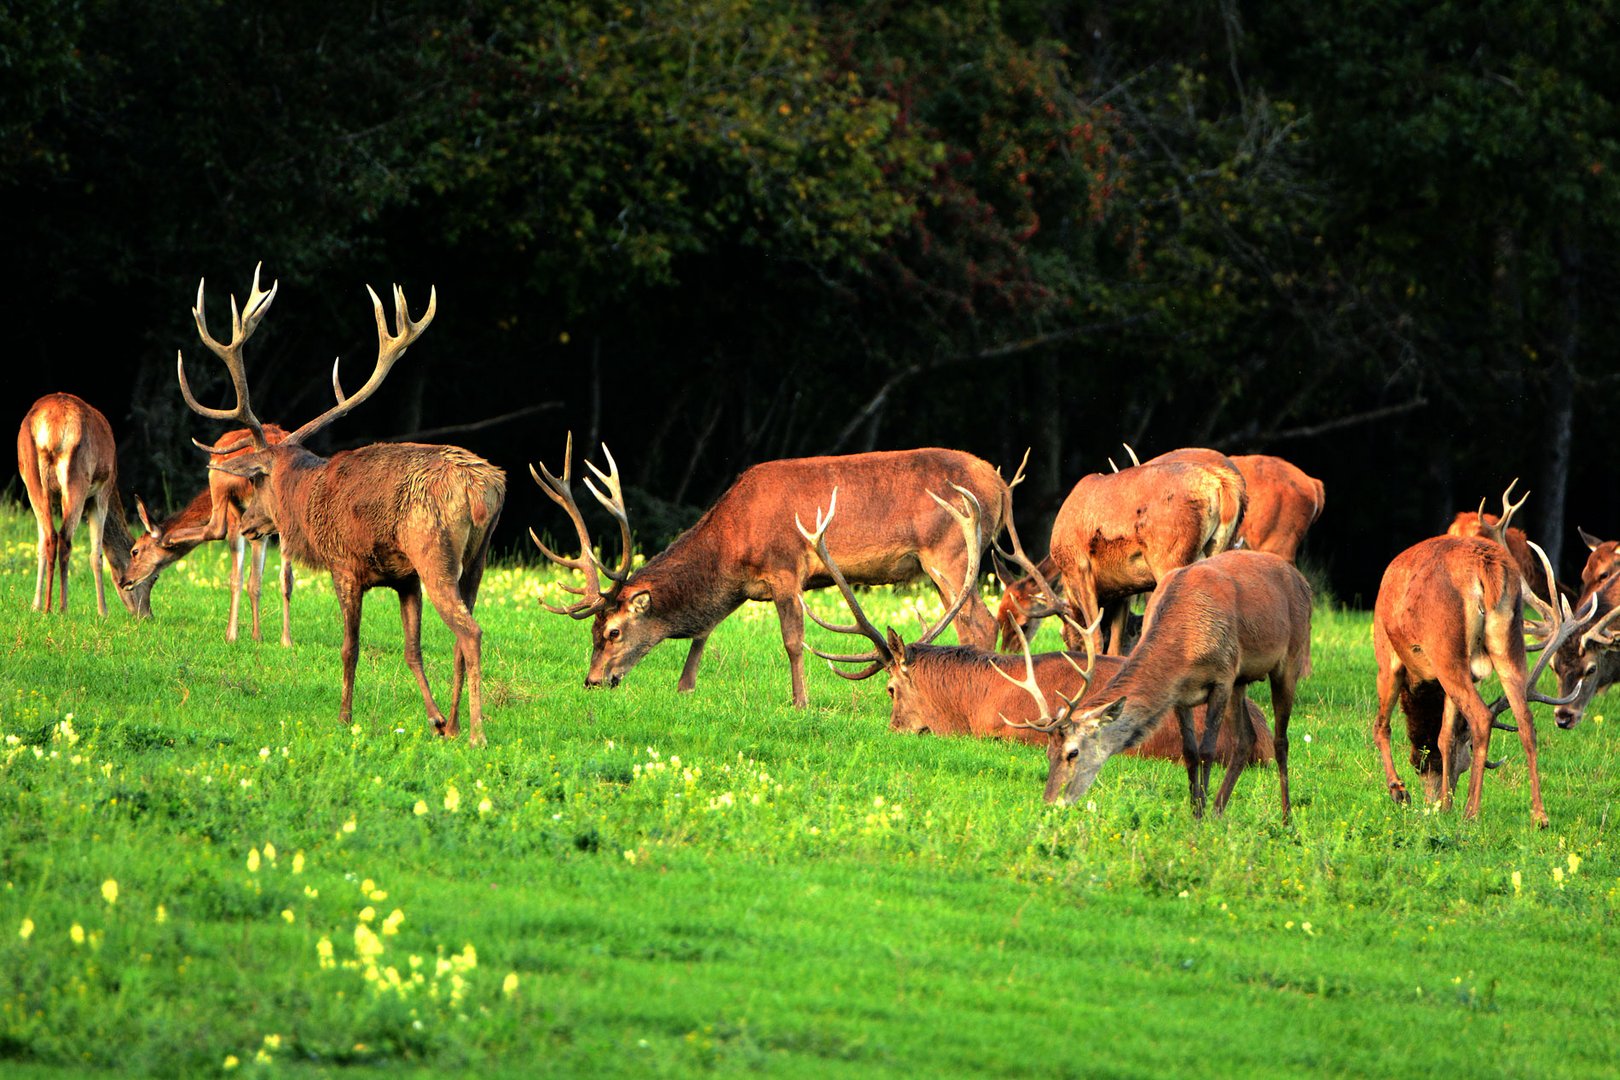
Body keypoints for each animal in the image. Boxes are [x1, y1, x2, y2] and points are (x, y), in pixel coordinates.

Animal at [17, 395, 154, 615]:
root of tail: (52, 429)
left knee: (49, 537)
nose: (146, 615)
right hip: (77, 479)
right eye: (153, 578)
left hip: (33, 480)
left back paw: (46, 607)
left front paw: (34, 606)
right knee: (64, 538)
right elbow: (96, 556)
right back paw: (62, 607)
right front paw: (103, 611)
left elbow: (39, 545)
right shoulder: (101, 494)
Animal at [122, 420, 298, 641]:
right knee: (286, 578)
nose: (124, 580)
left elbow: (240, 577)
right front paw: (257, 636)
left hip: (223, 487)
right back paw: (286, 640)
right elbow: (256, 582)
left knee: (219, 534)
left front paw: (235, 635)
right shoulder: (261, 528)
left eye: (135, 551)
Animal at [531, 440, 1010, 709]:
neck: (732, 543)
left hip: (951, 552)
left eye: (612, 631)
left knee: (981, 622)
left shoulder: (785, 569)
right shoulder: (743, 588)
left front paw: (800, 701)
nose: (592, 681)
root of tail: (1000, 484)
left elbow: (793, 642)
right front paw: (685, 688)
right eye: (593, 630)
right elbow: (704, 631)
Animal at [1367, 485, 1594, 822]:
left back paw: (1471, 812)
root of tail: (1486, 568)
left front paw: (1398, 791)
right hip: (1506, 642)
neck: (1419, 682)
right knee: (1526, 720)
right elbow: (1445, 736)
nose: (1433, 802)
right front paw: (1444, 804)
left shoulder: (1388, 656)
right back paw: (1539, 816)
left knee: (1481, 716)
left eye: (1421, 766)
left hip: (1445, 648)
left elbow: (1382, 726)